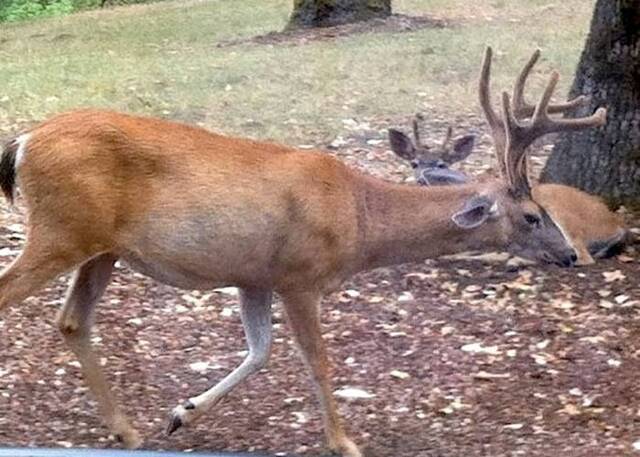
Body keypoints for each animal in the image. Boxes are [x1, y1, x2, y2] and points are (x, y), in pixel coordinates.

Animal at [388, 52, 628, 266]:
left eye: (442, 163)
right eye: (413, 164)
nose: (422, 178)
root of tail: (617, 222)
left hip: (566, 217)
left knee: (583, 255)